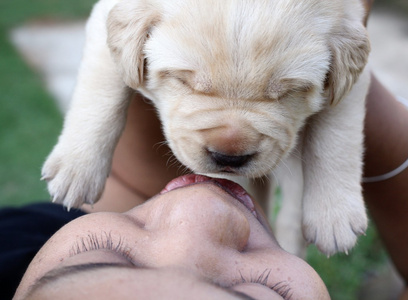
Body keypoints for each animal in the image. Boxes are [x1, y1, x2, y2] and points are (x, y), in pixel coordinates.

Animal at [41, 0, 370, 255]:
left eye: (289, 92)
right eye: (182, 80)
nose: (229, 157)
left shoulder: (356, 68)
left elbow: (337, 134)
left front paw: (335, 216)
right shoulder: (106, 17)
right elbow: (102, 87)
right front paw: (76, 169)